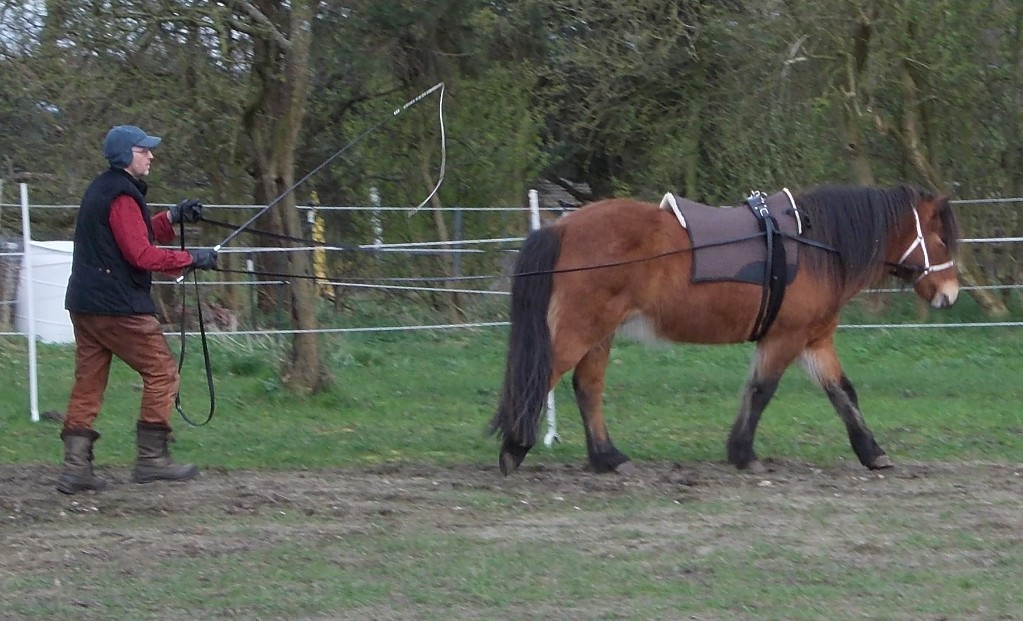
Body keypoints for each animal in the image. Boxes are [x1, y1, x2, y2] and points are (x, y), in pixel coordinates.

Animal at [493, 184, 957, 476]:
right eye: (941, 240)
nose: (950, 295)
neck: (814, 246)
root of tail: (562, 226)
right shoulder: (785, 338)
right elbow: (762, 390)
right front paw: (743, 453)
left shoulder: (814, 340)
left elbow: (843, 393)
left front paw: (872, 452)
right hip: (581, 330)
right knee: (542, 377)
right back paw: (514, 449)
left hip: (598, 334)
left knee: (587, 389)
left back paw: (607, 458)